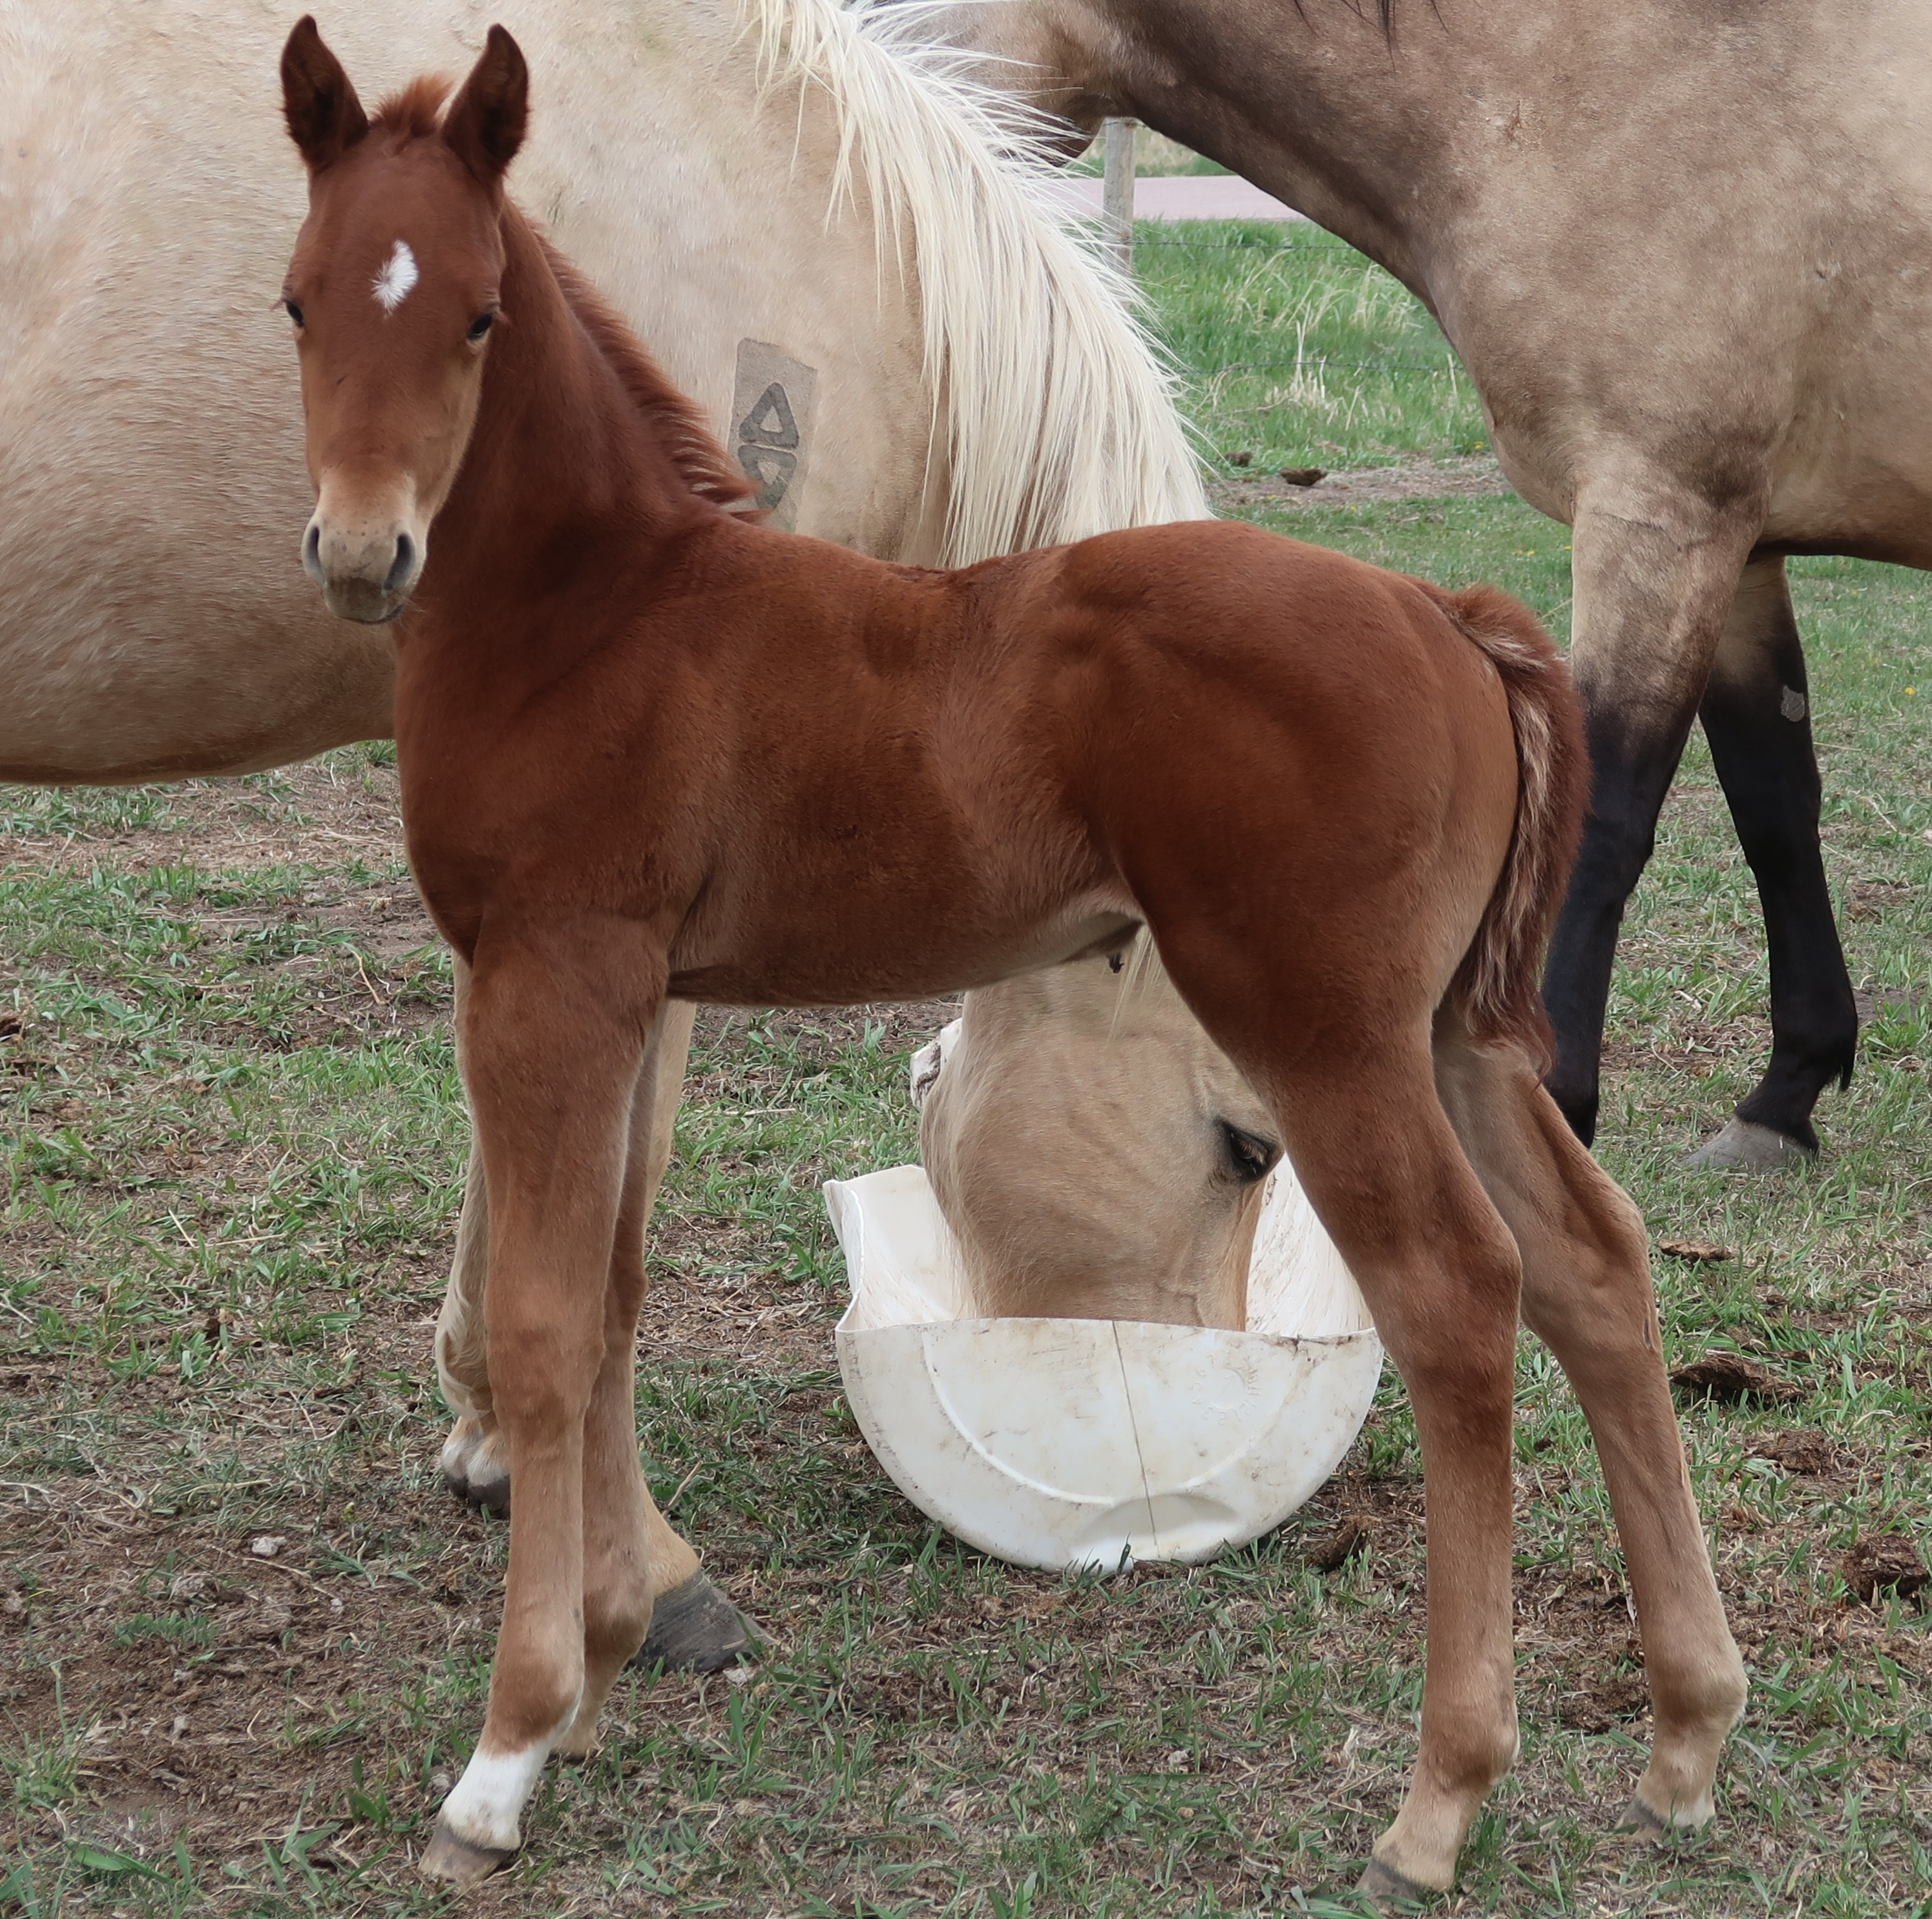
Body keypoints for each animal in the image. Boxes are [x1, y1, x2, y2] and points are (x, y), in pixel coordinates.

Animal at [276, 22, 1745, 1896]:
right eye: (300, 301)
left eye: (472, 315)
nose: (358, 554)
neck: (601, 614)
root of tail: (1443, 612)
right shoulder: (628, 996)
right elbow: (607, 1304)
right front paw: (603, 1666)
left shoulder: (548, 979)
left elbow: (541, 1325)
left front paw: (506, 1753)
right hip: (1453, 1032)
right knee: (1593, 1267)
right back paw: (1686, 1734)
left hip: (1323, 1032)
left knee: (1455, 1295)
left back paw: (1438, 1801)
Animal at [886, 0, 1932, 1171]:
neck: (1605, 96)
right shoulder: (1739, 549)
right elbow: (1774, 804)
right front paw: (1783, 1095)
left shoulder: (1659, 520)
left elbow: (1603, 820)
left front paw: (1557, 1101)